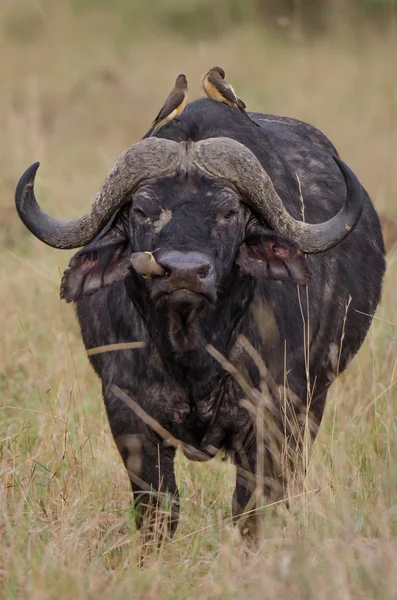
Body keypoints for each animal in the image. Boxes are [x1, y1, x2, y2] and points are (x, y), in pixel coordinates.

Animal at [14, 98, 384, 536]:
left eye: (228, 212)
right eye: (143, 209)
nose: (184, 272)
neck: (192, 353)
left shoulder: (273, 418)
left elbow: (253, 510)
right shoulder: (128, 416)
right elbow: (158, 509)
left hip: (314, 401)